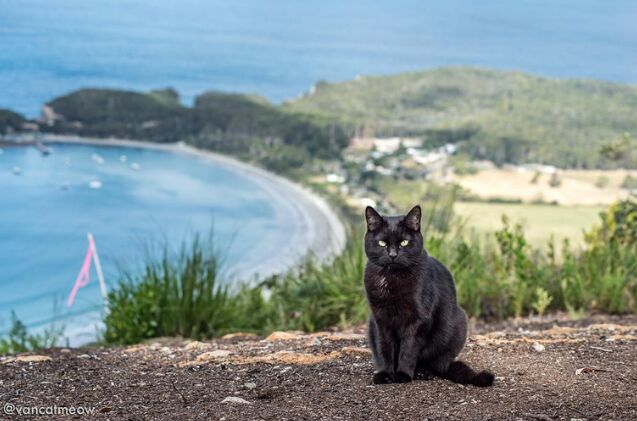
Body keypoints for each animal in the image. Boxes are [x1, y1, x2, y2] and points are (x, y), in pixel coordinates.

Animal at [362, 205, 492, 386]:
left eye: (404, 242)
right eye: (382, 243)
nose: (393, 255)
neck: (392, 279)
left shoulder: (417, 320)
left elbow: (408, 350)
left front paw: (403, 374)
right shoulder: (380, 319)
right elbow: (385, 348)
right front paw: (386, 374)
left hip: (457, 324)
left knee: (435, 364)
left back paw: (423, 373)